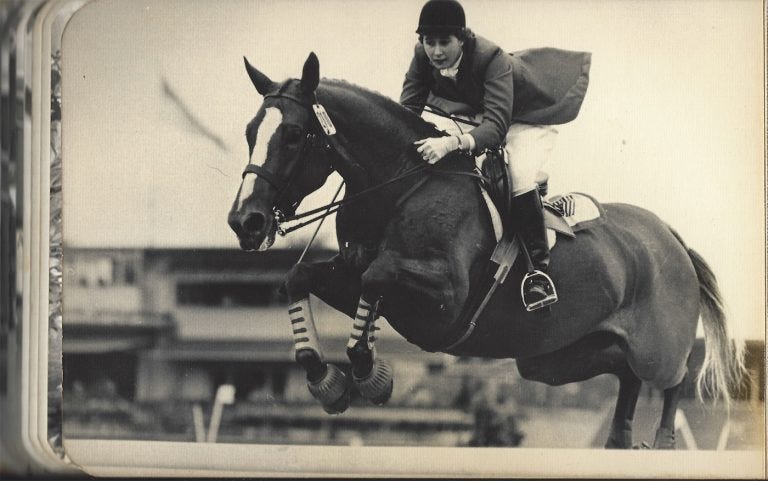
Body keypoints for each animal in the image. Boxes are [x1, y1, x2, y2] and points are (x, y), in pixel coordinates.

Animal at [228, 53, 744, 450]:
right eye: (251, 131)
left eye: (293, 135)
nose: (244, 222)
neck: (402, 186)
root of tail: (673, 238)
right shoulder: (354, 275)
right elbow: (302, 279)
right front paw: (327, 382)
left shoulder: (444, 298)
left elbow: (377, 279)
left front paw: (371, 375)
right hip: (555, 359)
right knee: (626, 376)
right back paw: (622, 441)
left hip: (656, 345)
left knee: (671, 378)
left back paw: (664, 443)